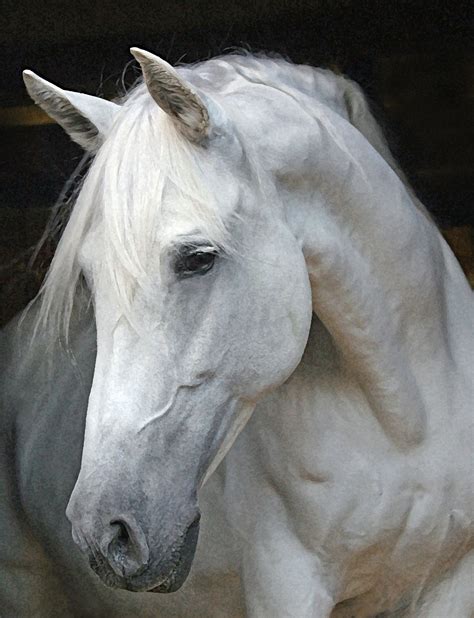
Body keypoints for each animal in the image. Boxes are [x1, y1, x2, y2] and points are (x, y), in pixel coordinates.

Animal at [0, 49, 474, 616]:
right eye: (89, 278)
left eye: (198, 258)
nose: (105, 533)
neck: (405, 426)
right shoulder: (287, 586)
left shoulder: (451, 582)